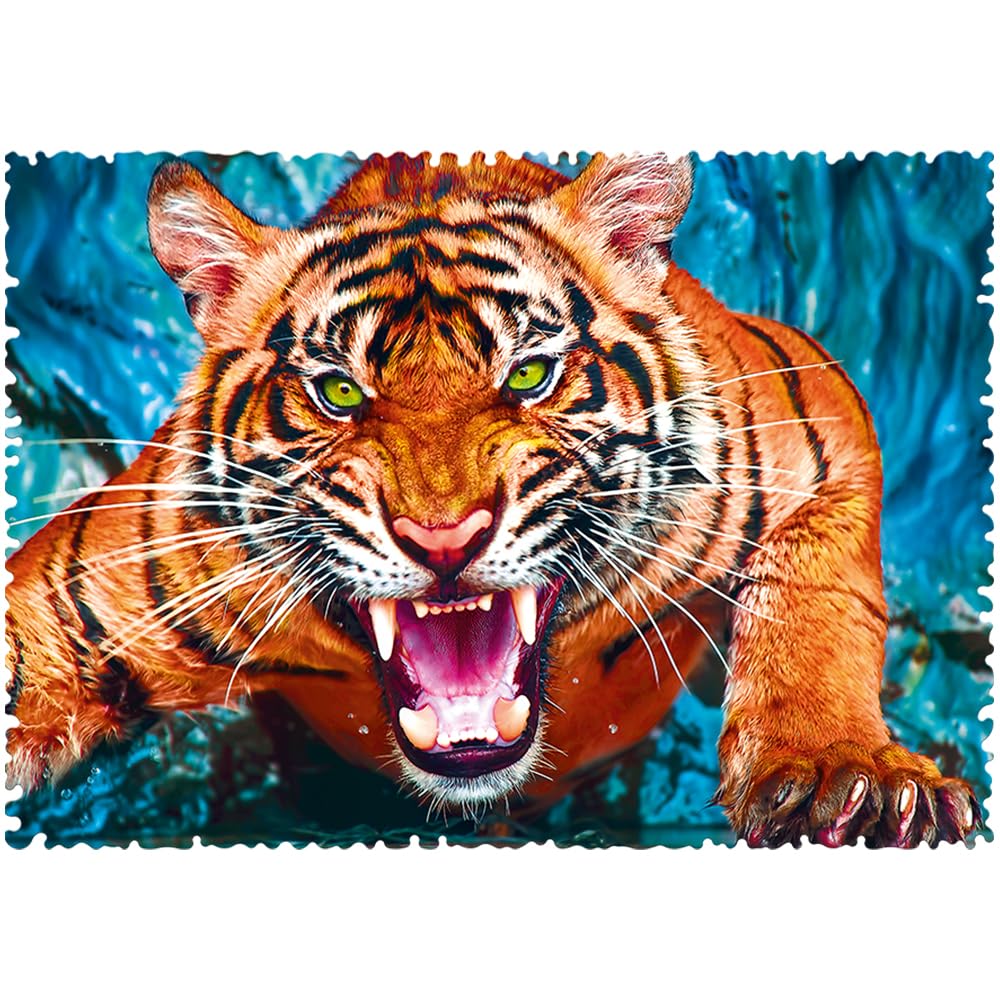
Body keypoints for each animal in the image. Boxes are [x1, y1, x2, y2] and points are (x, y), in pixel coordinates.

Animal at [5, 151, 981, 847]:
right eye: (340, 393)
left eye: (528, 376)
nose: (444, 539)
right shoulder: (84, 589)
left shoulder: (816, 419)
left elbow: (814, 597)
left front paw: (840, 771)